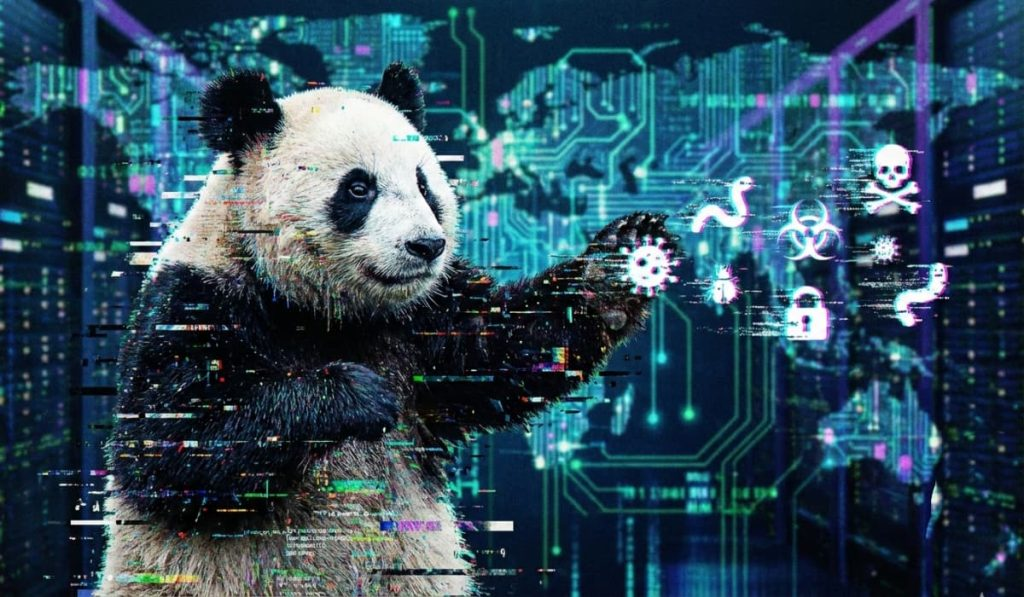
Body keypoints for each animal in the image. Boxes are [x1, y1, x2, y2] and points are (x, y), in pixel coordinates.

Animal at [100, 63, 676, 596]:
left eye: (424, 183)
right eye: (358, 188)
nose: (427, 245)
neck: (321, 312)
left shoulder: (424, 321)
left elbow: (506, 347)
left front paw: (621, 261)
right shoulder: (196, 300)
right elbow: (172, 447)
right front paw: (354, 395)